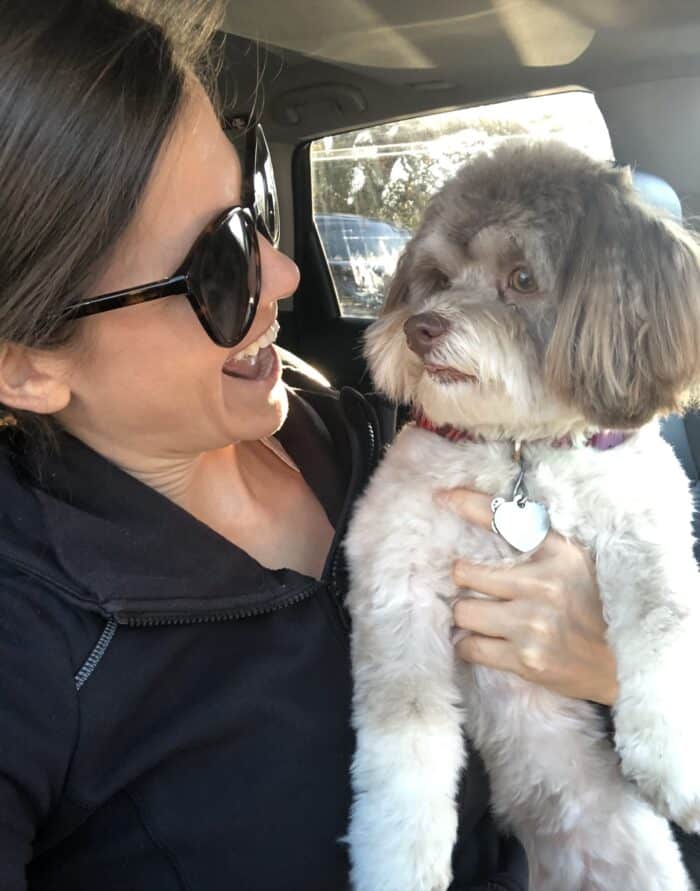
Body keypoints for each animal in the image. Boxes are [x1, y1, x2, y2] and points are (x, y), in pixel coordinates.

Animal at [348, 141, 700, 891]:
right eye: (435, 279)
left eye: (522, 277)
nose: (420, 327)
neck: (518, 448)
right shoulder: (398, 584)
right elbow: (405, 737)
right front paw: (399, 861)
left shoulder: (647, 531)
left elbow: (664, 629)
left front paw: (677, 764)